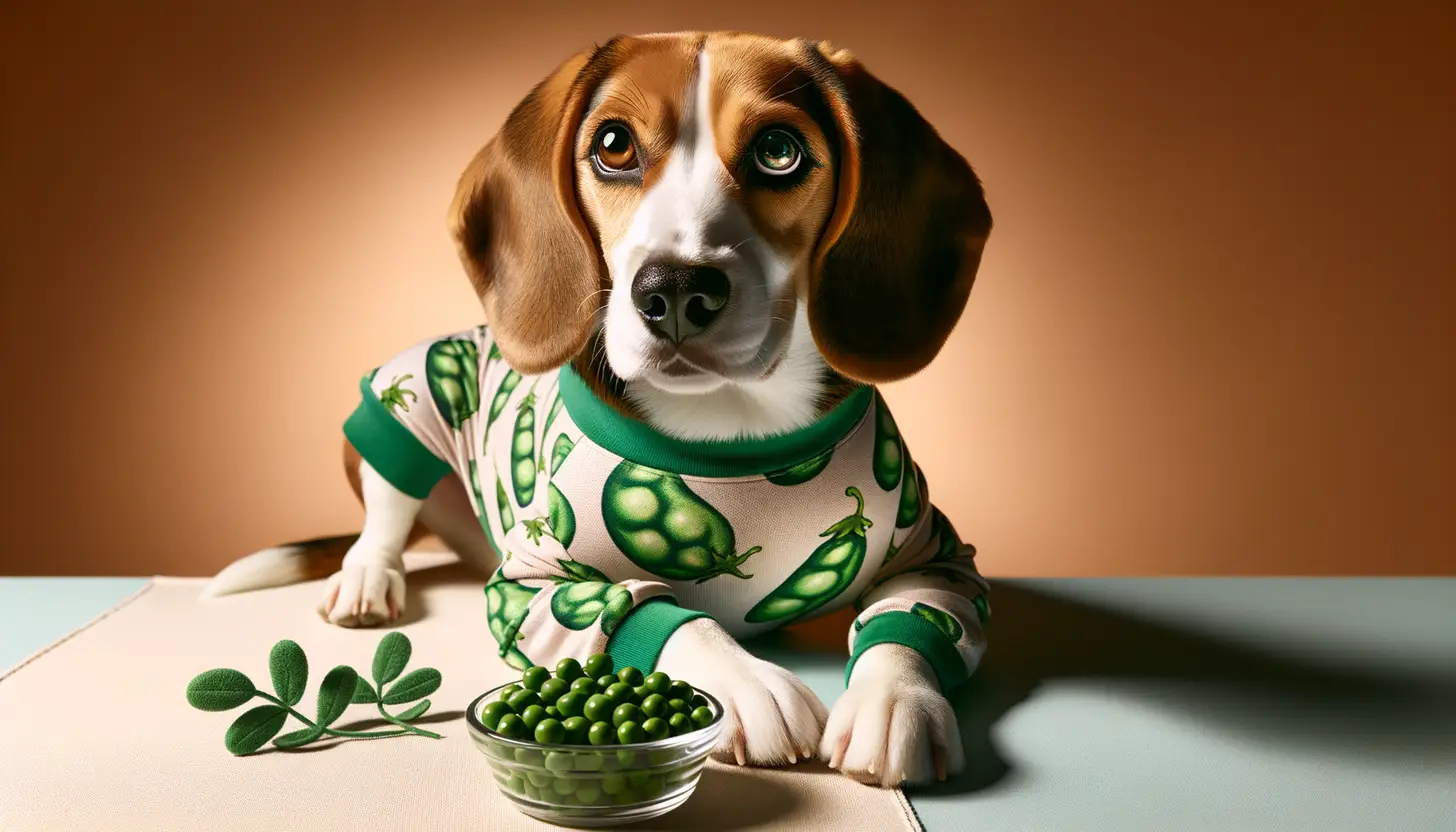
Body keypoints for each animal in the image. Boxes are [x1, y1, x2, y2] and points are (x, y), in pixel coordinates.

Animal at [205, 30, 995, 786]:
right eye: (613, 145)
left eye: (779, 151)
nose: (675, 288)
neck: (730, 428)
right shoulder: (529, 588)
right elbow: (648, 609)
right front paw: (747, 684)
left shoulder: (941, 559)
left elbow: (911, 624)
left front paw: (895, 702)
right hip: (413, 391)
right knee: (387, 511)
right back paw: (367, 579)